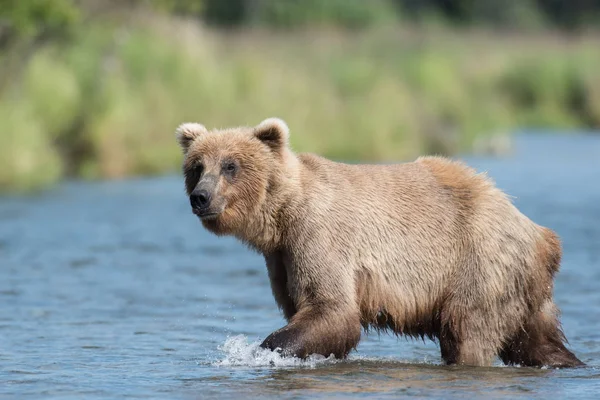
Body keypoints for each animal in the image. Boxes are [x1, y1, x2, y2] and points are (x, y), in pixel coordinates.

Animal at [176, 117, 584, 368]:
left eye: (230, 166)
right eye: (197, 166)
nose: (200, 197)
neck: (281, 215)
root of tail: (542, 236)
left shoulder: (317, 235)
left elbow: (331, 307)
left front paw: (261, 350)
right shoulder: (280, 256)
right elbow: (308, 311)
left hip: (479, 265)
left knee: (468, 332)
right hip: (521, 288)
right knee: (537, 341)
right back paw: (569, 362)